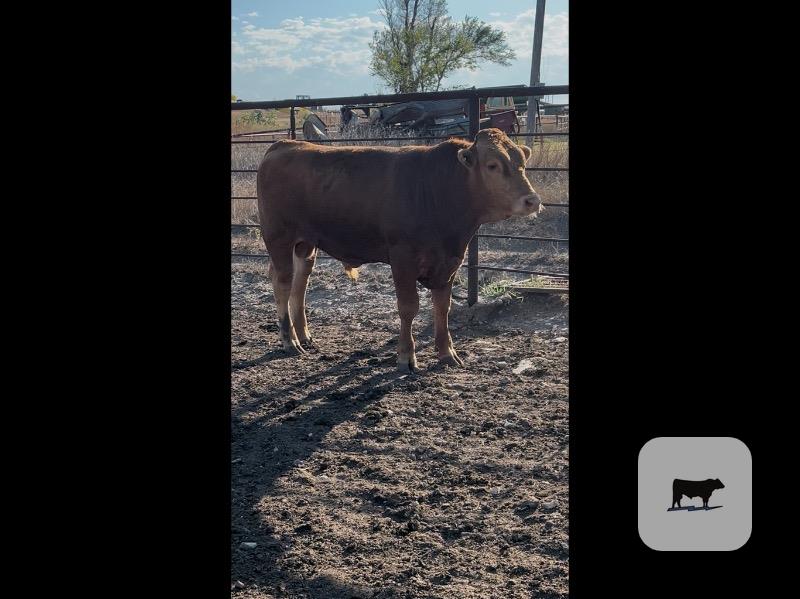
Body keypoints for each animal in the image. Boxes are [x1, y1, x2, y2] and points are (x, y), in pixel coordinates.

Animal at [256, 128, 542, 372]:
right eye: (492, 165)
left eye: (521, 163)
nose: (532, 200)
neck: (439, 190)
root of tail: (283, 145)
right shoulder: (403, 259)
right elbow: (408, 307)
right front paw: (406, 356)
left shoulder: (449, 262)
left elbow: (442, 307)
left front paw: (447, 353)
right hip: (279, 238)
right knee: (283, 283)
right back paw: (289, 340)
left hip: (305, 244)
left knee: (300, 283)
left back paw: (304, 335)